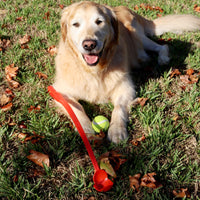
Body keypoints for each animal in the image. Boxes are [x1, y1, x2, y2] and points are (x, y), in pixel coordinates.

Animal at [52, 0, 200, 143]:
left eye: (99, 21)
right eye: (76, 24)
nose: (89, 45)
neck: (93, 71)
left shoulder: (125, 89)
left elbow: (119, 108)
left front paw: (117, 130)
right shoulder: (59, 91)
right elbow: (77, 108)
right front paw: (86, 129)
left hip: (138, 40)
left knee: (163, 46)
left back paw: (163, 59)